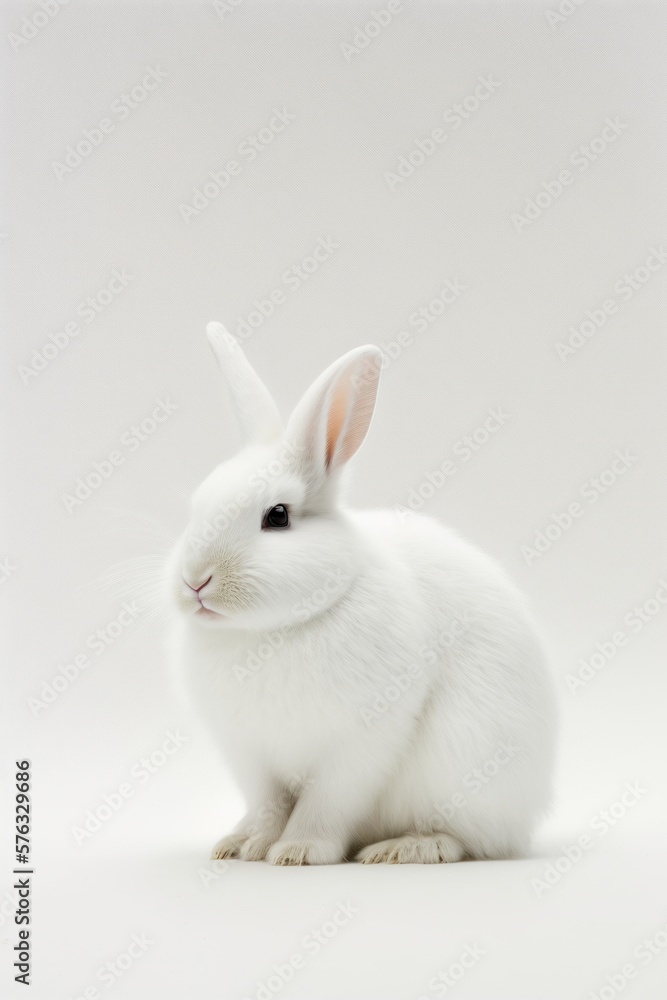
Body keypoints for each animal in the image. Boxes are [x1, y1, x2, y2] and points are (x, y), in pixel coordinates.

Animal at [166, 322, 557, 865]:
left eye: (278, 516)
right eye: (196, 505)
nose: (195, 581)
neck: (270, 633)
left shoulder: (359, 744)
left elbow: (325, 804)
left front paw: (299, 851)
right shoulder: (251, 758)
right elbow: (268, 807)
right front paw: (245, 846)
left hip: (468, 770)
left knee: (467, 839)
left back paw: (403, 848)